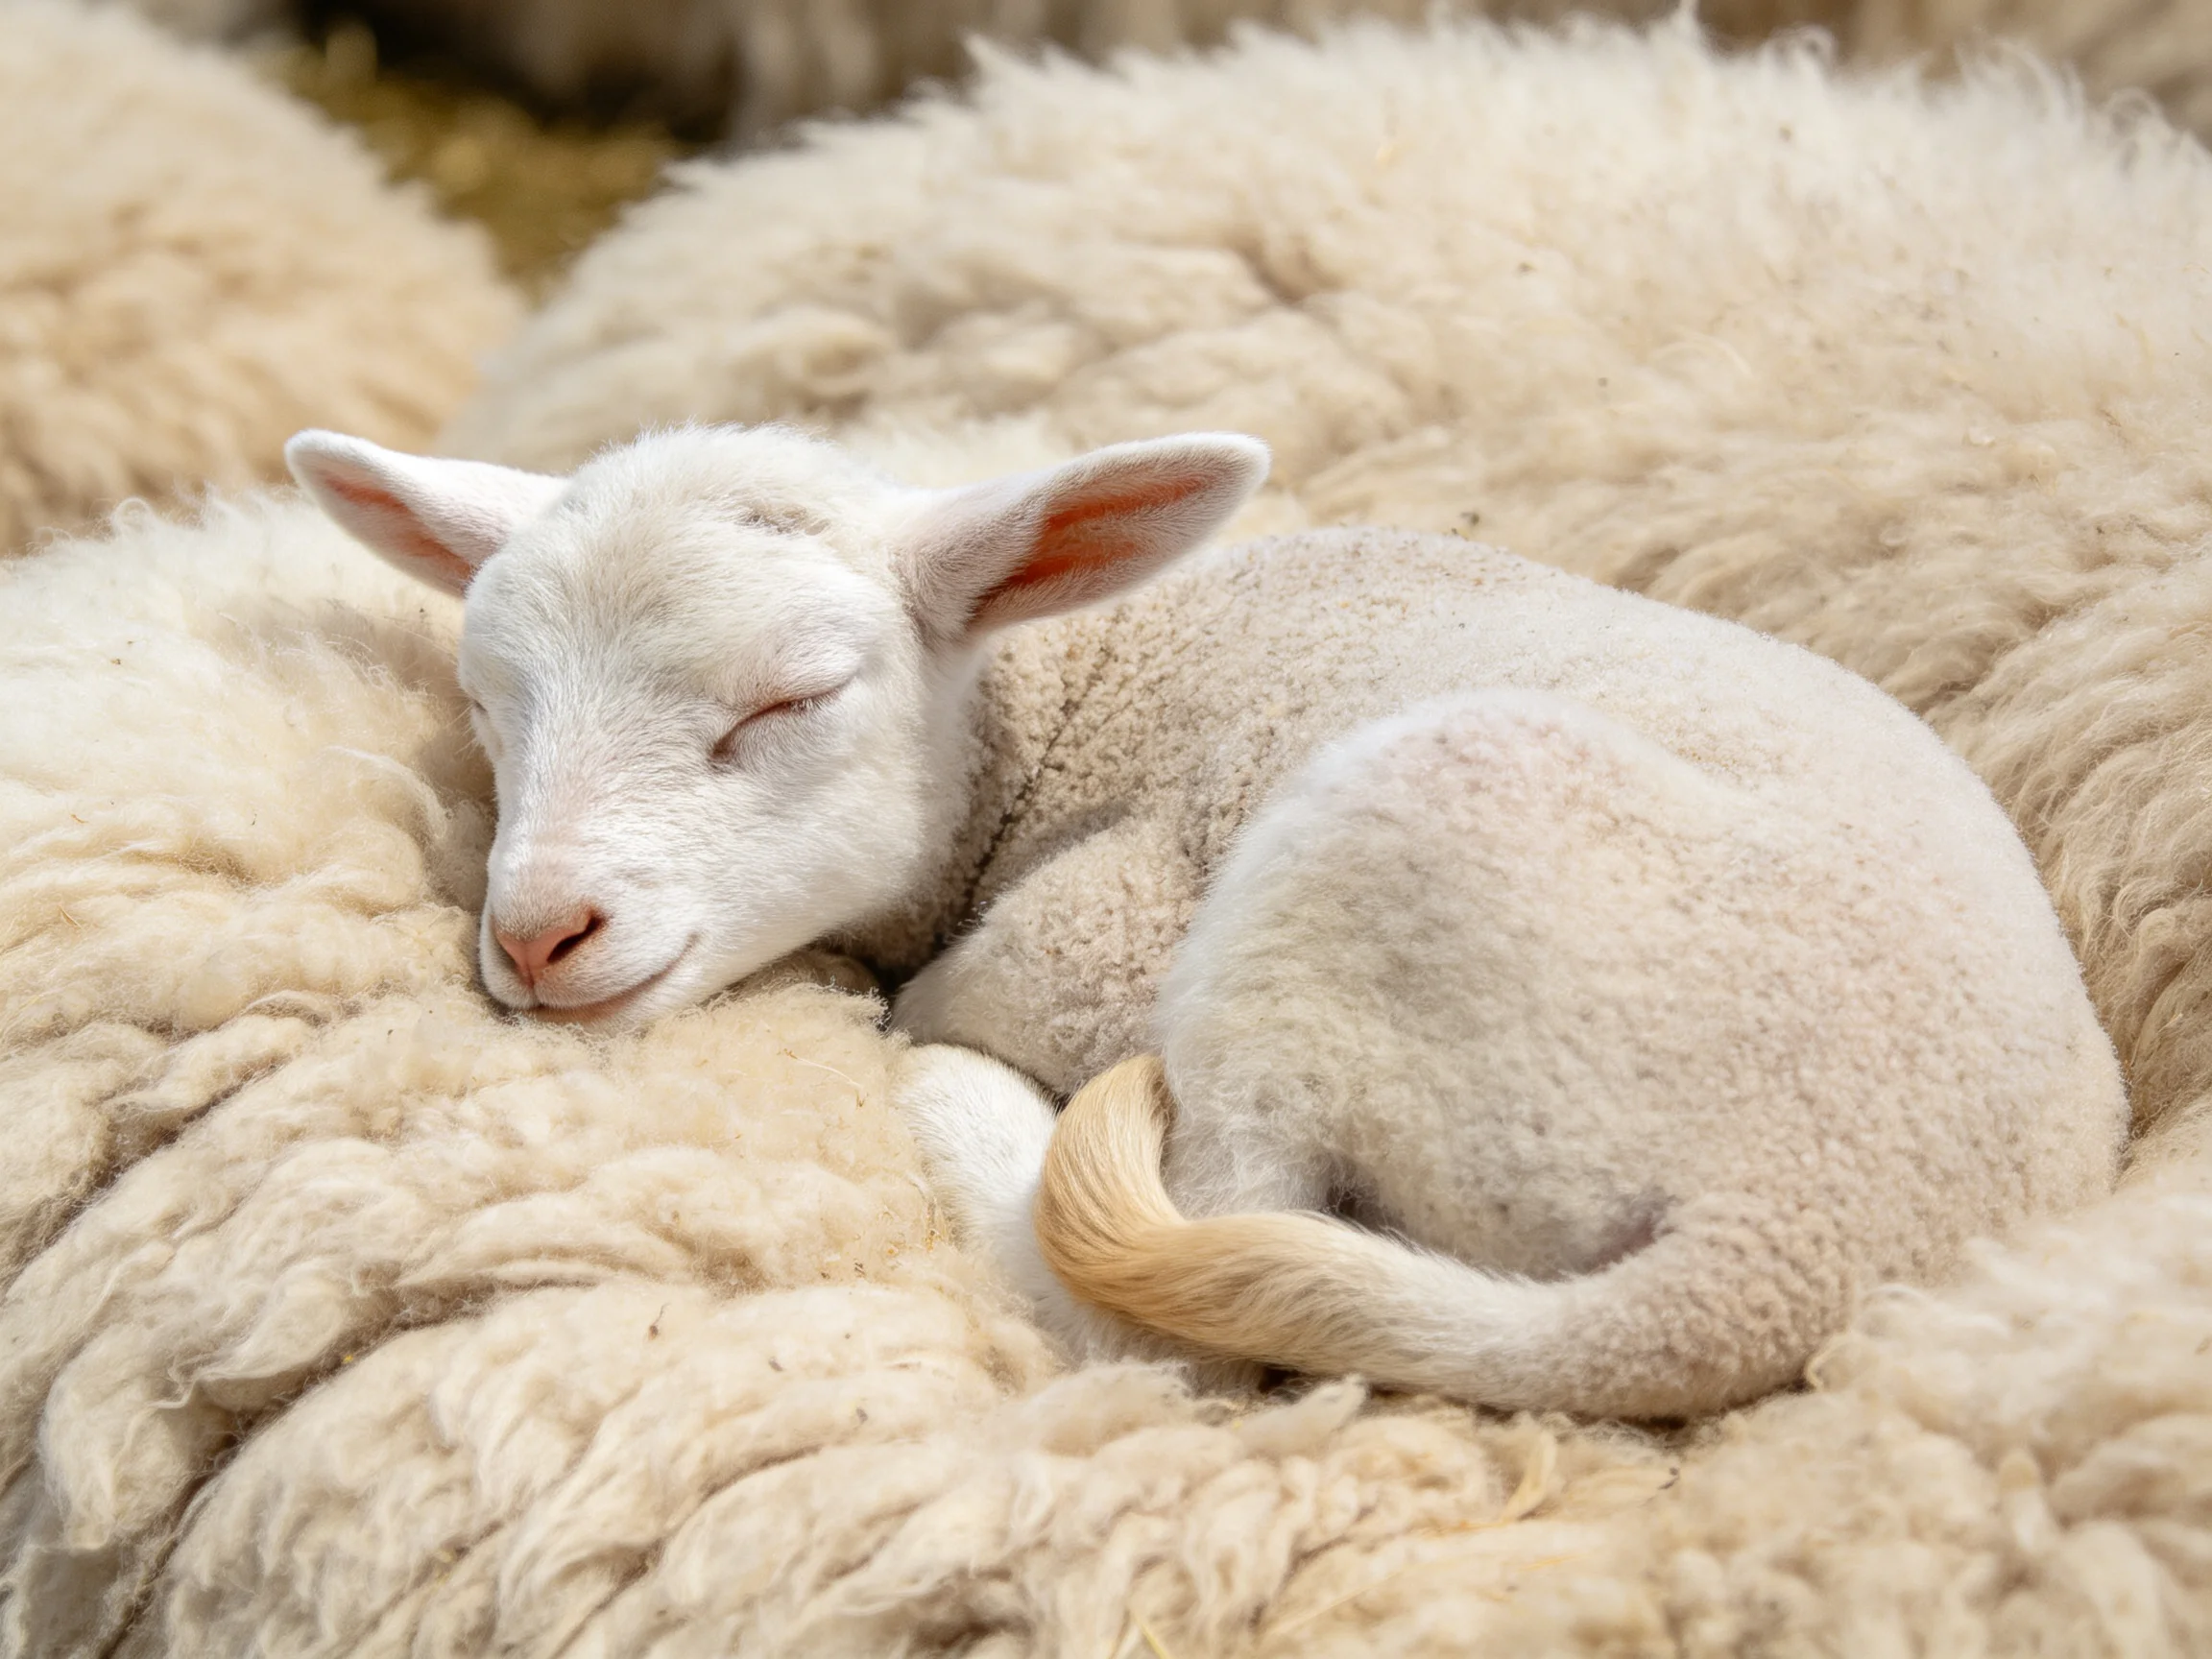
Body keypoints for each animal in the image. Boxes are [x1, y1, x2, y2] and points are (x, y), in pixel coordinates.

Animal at [282, 418, 2124, 1418]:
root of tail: (1788, 1248)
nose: (539, 935)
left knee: (1187, 1307)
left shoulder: (1104, 928)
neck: (1066, 696)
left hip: (1360, 892)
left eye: (792, 699)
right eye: (488, 703)